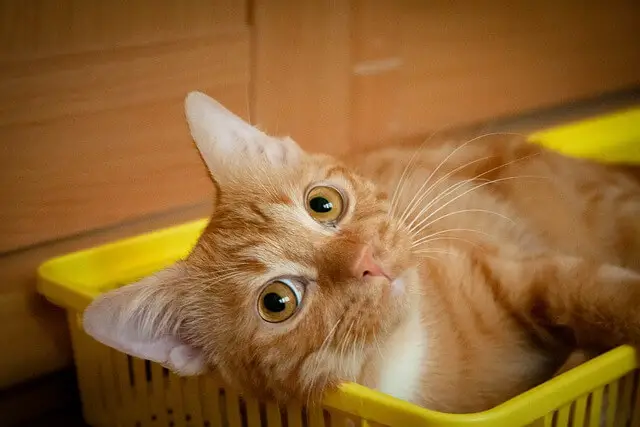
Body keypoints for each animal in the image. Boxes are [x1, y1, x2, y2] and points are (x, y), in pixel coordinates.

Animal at [84, 92, 640, 412]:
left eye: (323, 204)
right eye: (276, 302)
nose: (366, 261)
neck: (408, 355)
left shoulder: (516, 270)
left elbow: (590, 290)